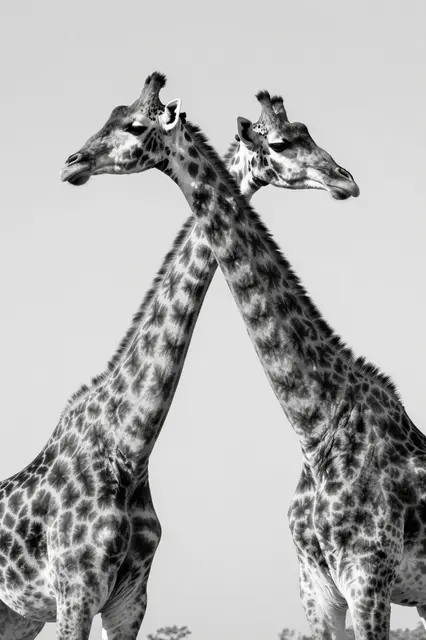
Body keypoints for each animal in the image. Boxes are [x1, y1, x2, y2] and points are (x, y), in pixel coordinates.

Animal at [0, 75, 357, 640]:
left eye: (133, 125)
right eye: (282, 143)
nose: (71, 163)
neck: (129, 445)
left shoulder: (128, 600)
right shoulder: (74, 591)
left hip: (17, 614)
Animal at [62, 73, 426, 640]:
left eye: (135, 125)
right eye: (279, 143)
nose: (345, 180)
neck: (317, 426)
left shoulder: (369, 577)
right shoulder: (319, 587)